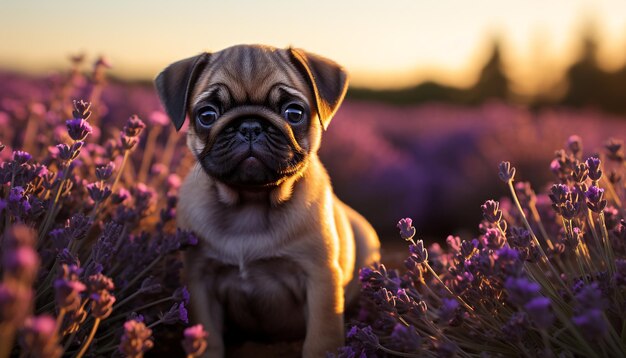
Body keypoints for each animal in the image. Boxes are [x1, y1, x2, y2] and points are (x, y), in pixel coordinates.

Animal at [155, 45, 380, 358]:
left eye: (294, 112)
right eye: (207, 115)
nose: (250, 125)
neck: (251, 201)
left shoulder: (320, 278)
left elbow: (322, 336)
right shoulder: (200, 281)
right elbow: (207, 336)